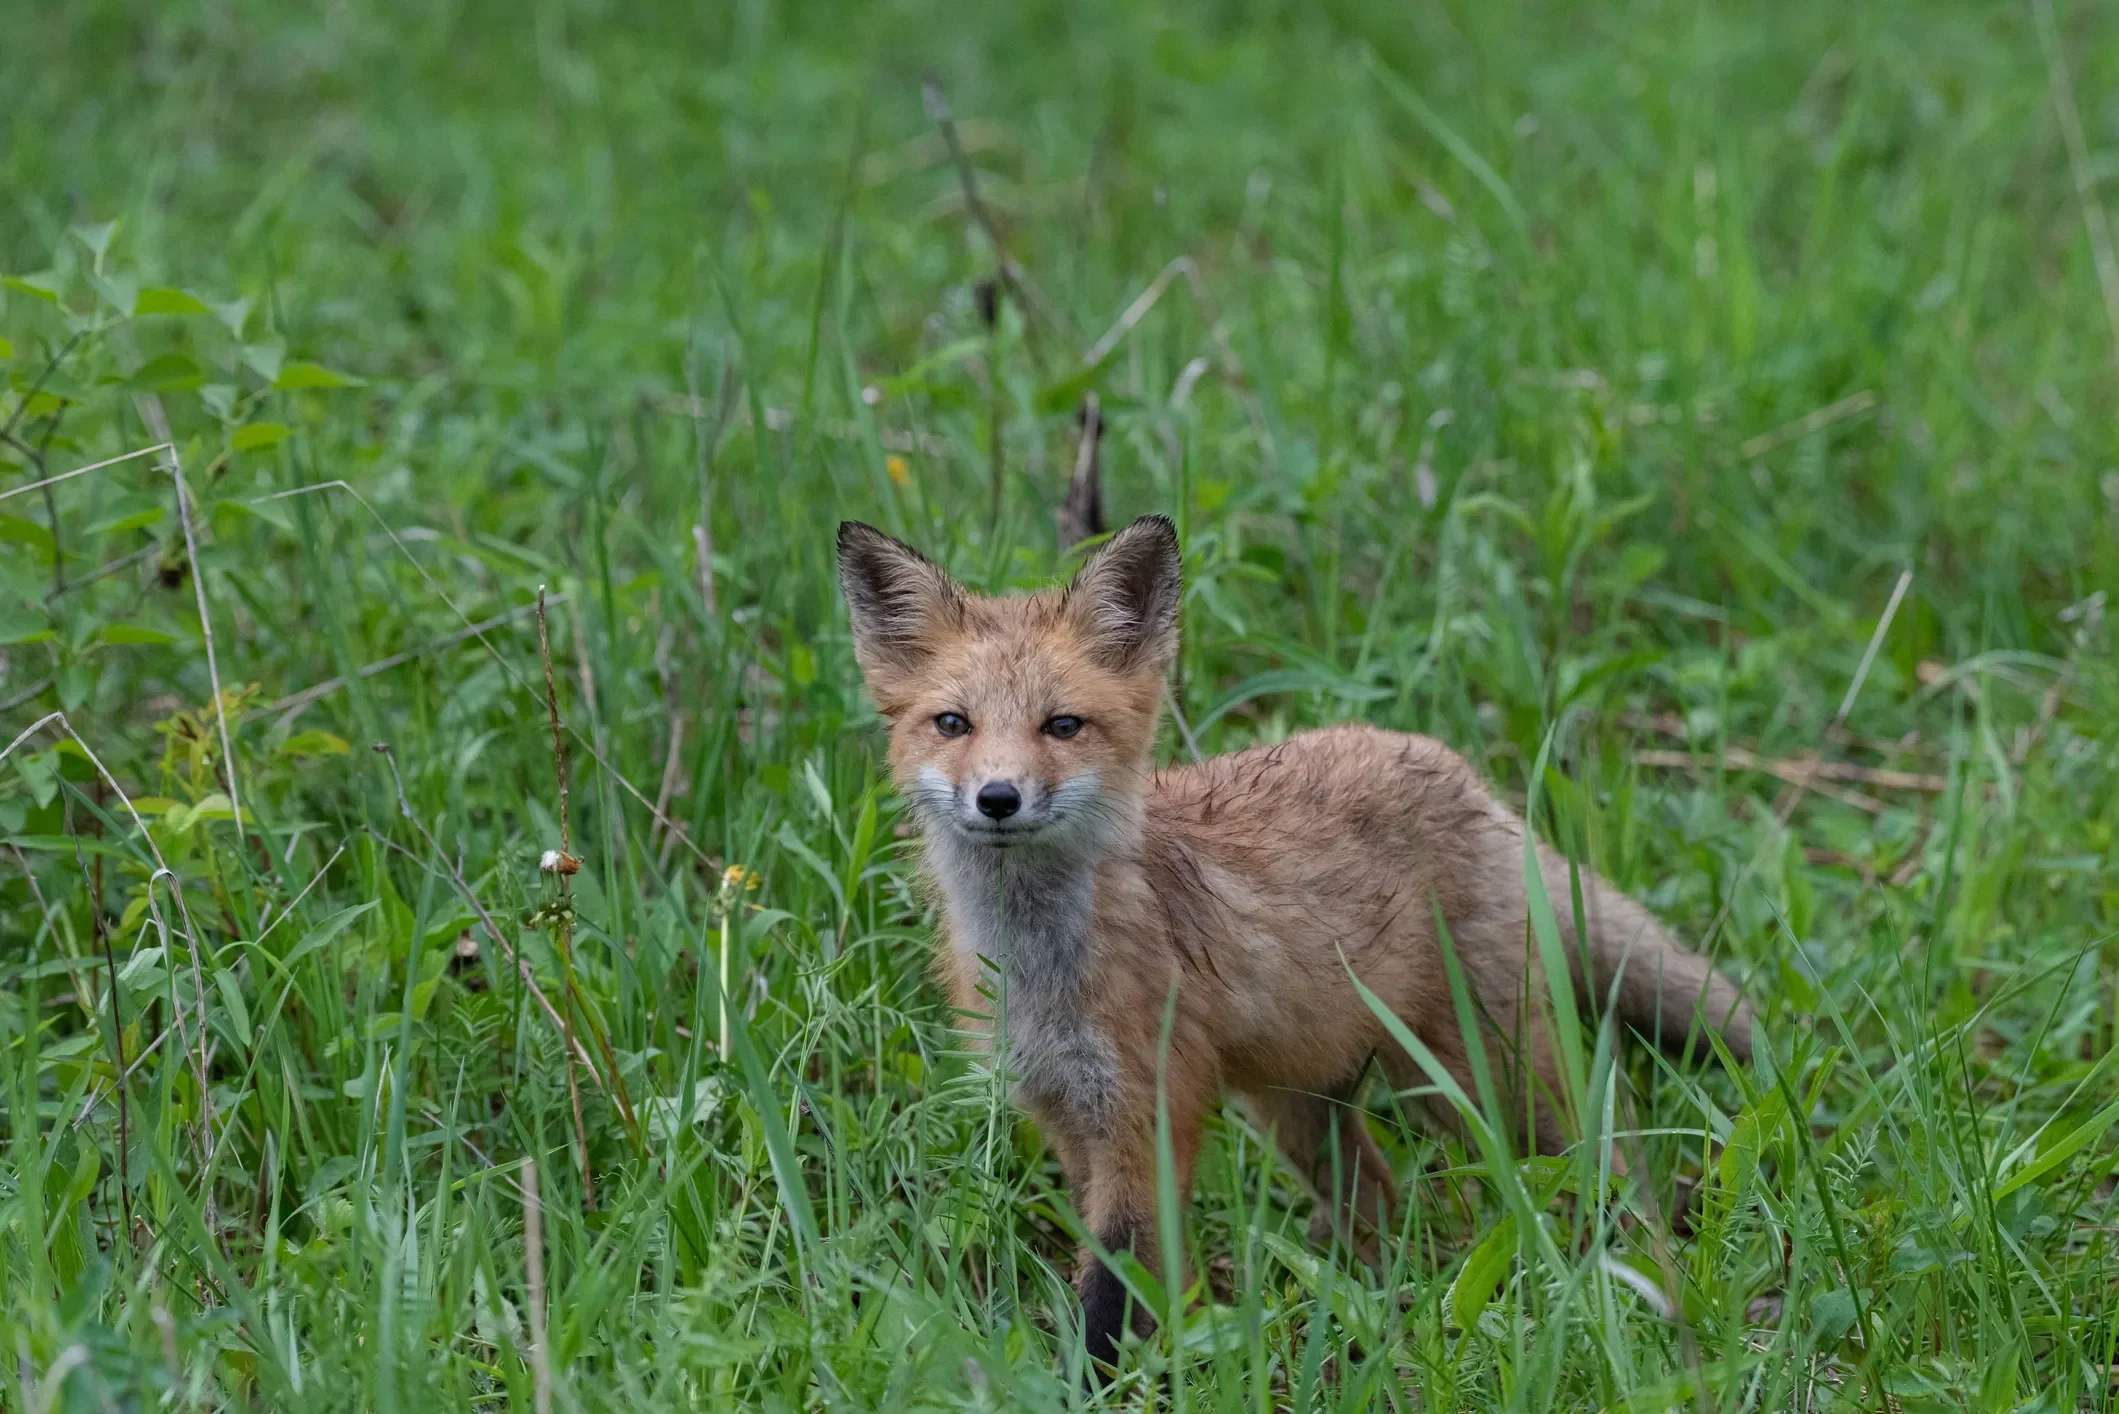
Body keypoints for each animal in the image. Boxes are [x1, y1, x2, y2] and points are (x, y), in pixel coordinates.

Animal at [836, 513, 1754, 1374]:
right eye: (952, 723)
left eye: (1061, 725)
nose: (997, 797)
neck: (1039, 970)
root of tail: (1462, 774)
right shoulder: (1063, 1111)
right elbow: (1117, 1269)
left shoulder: (1147, 1109)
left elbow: (1116, 1286)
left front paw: (1095, 1381)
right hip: (1300, 1106)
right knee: (1378, 1196)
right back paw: (1376, 1311)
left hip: (1479, 1079)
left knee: (1602, 1160)